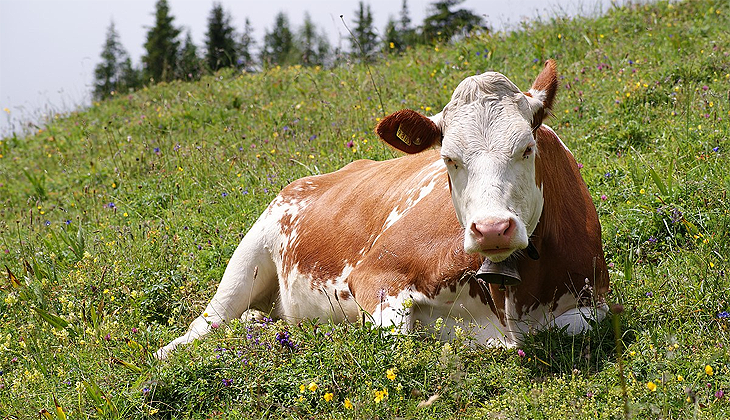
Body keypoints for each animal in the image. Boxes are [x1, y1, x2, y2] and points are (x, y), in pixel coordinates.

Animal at [158, 60, 608, 360]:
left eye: (527, 148)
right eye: (449, 159)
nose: (492, 228)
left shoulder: (595, 301)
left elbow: (577, 325)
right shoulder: (375, 274)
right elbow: (398, 334)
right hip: (249, 255)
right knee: (207, 322)